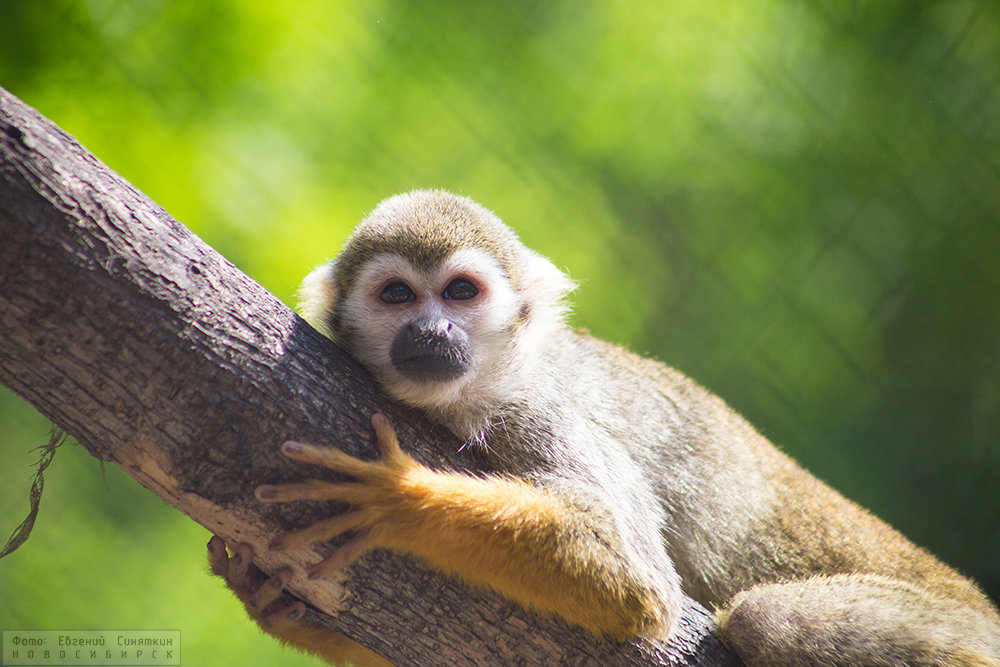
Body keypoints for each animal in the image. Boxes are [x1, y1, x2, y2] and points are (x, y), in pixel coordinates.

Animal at [207, 189, 996, 667]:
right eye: (397, 295)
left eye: (460, 292)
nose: (430, 331)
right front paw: (274, 604)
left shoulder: (535, 408)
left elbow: (634, 578)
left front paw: (400, 500)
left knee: (765, 620)